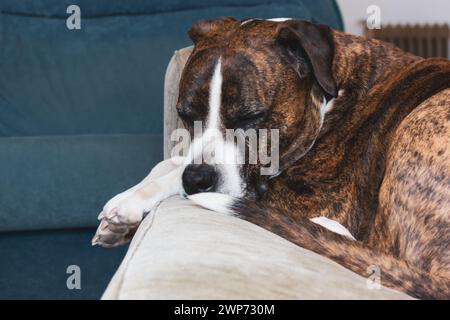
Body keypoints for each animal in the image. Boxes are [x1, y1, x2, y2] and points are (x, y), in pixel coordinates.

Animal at [92, 16, 450, 298]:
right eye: (185, 115)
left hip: (419, 121)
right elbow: (170, 162)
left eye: (250, 118)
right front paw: (124, 215)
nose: (197, 180)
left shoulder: (319, 199)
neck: (329, 97)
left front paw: (135, 199)